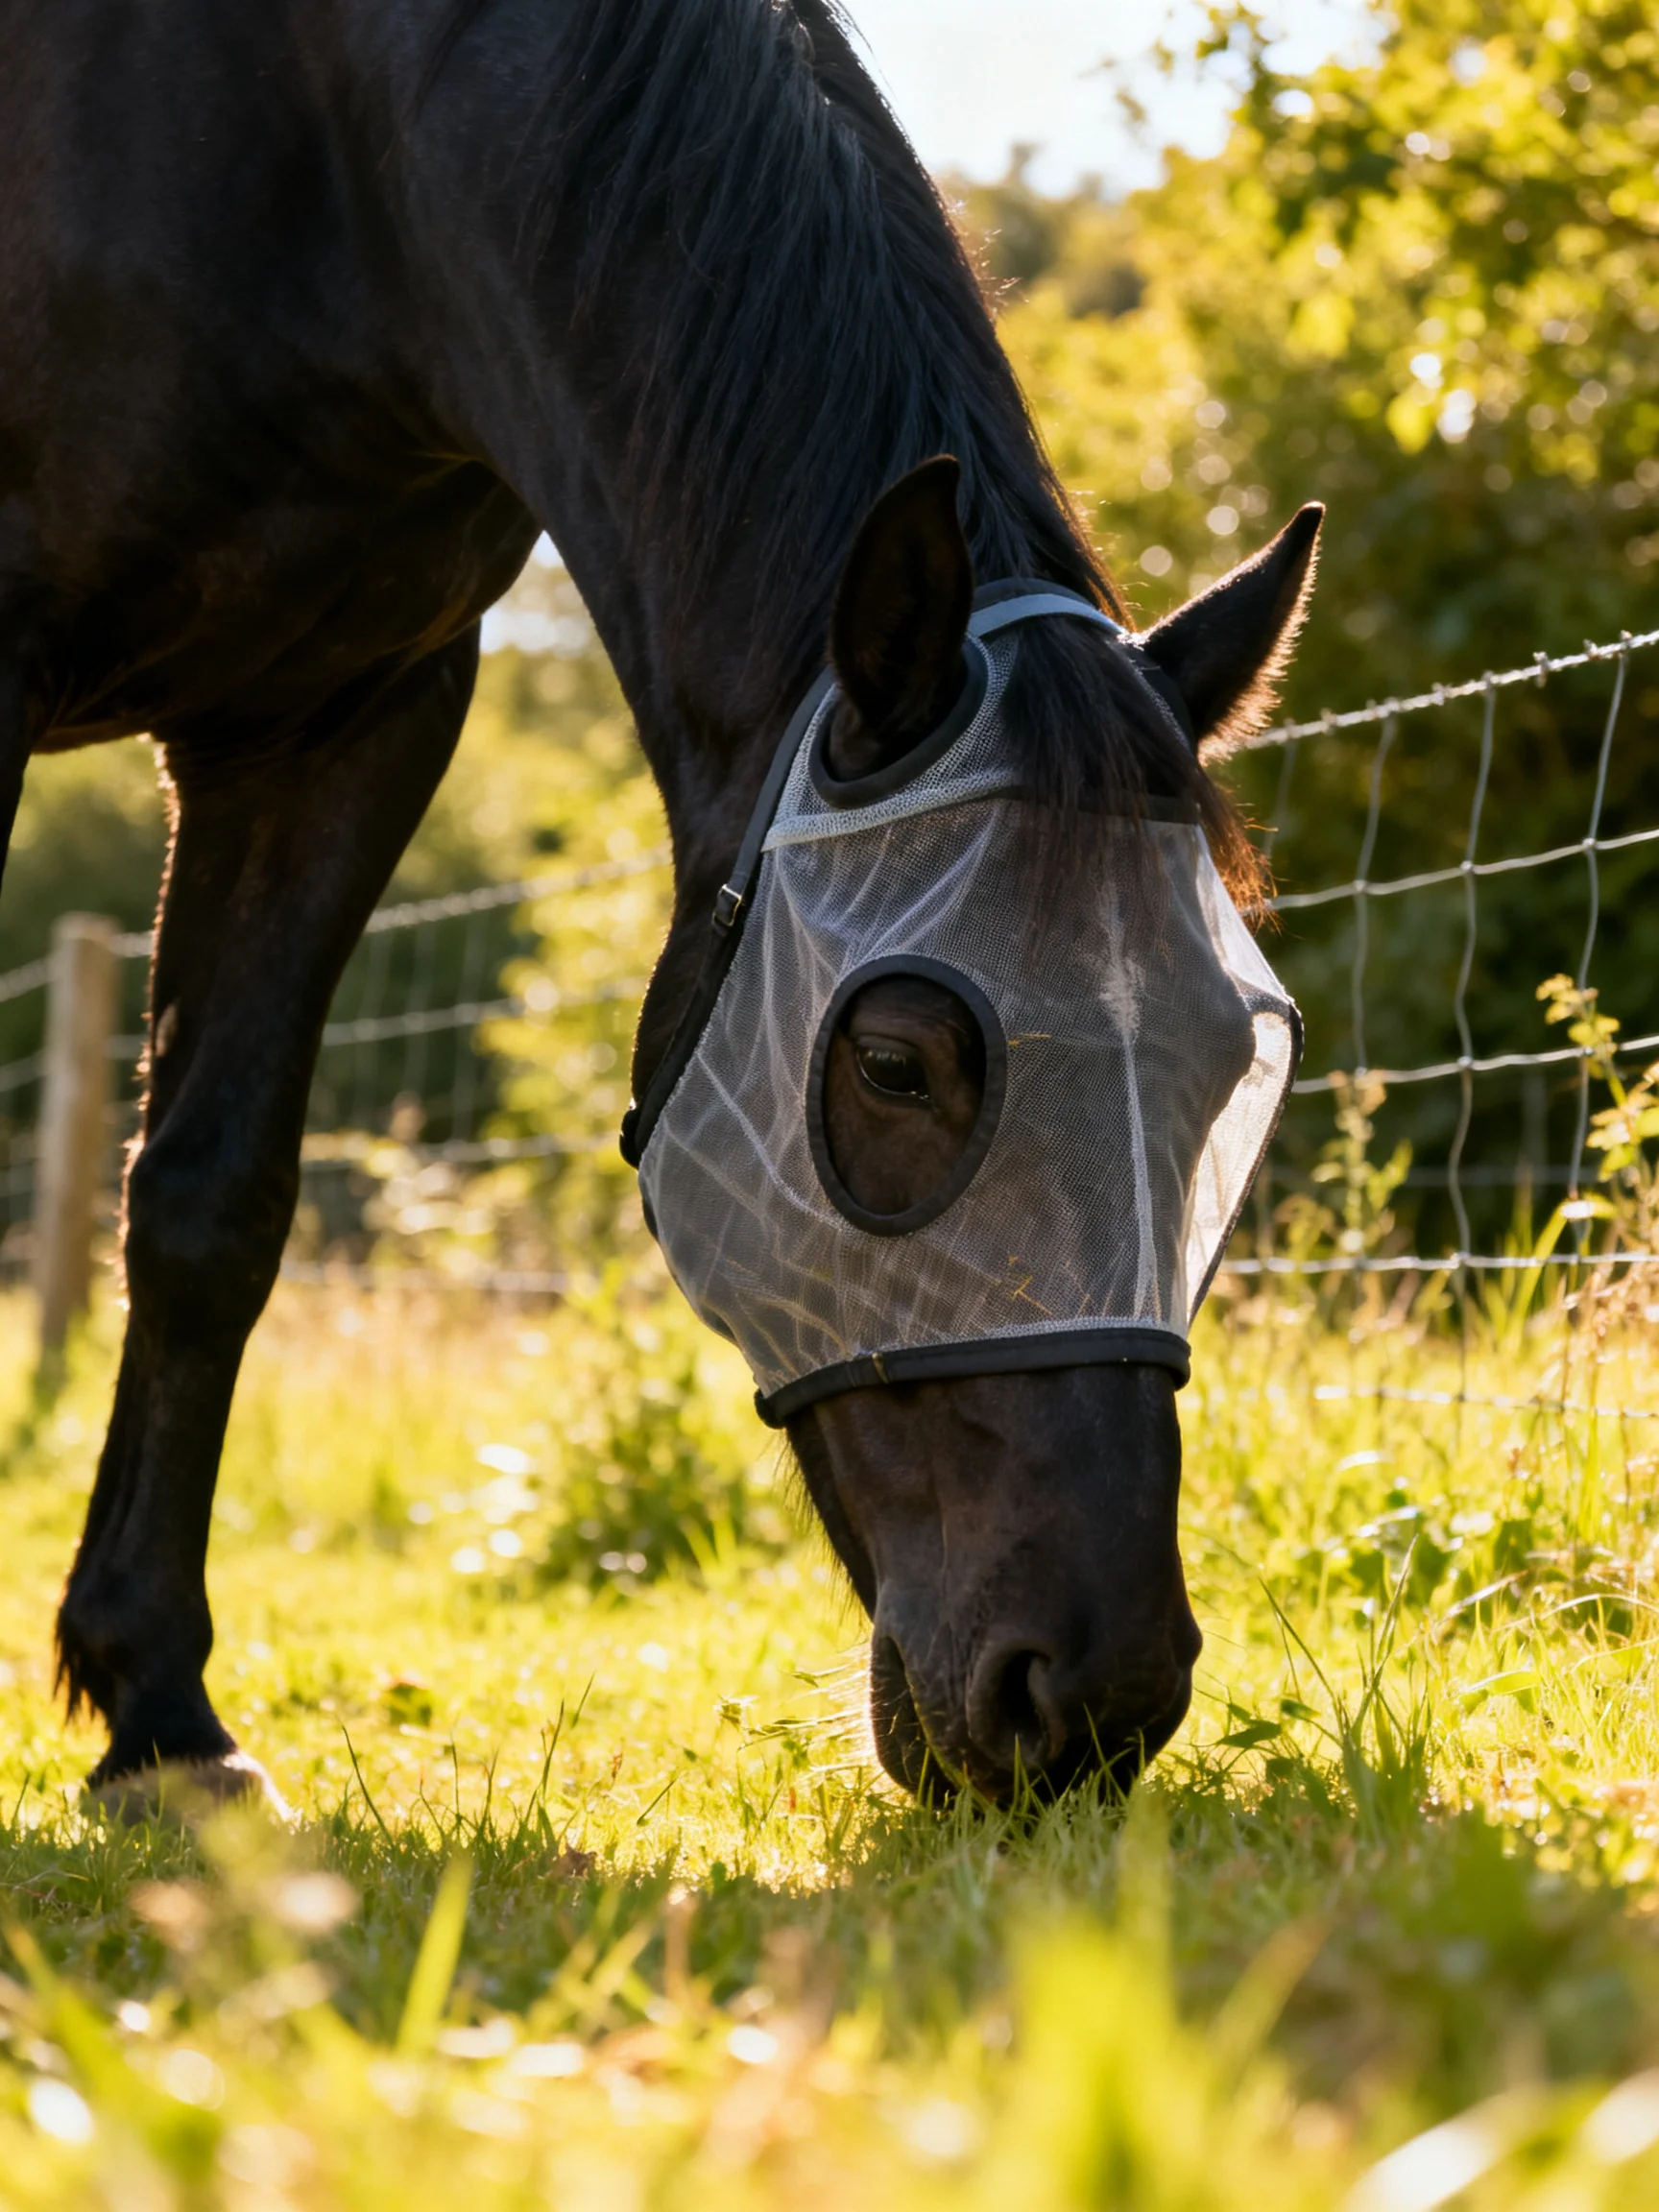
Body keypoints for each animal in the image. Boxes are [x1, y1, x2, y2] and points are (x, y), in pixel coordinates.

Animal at [1, 0, 1319, 1814]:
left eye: (1232, 1068)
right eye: (896, 1064)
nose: (1094, 1698)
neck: (311, 139)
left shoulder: (343, 720)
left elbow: (210, 1205)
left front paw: (158, 1712)